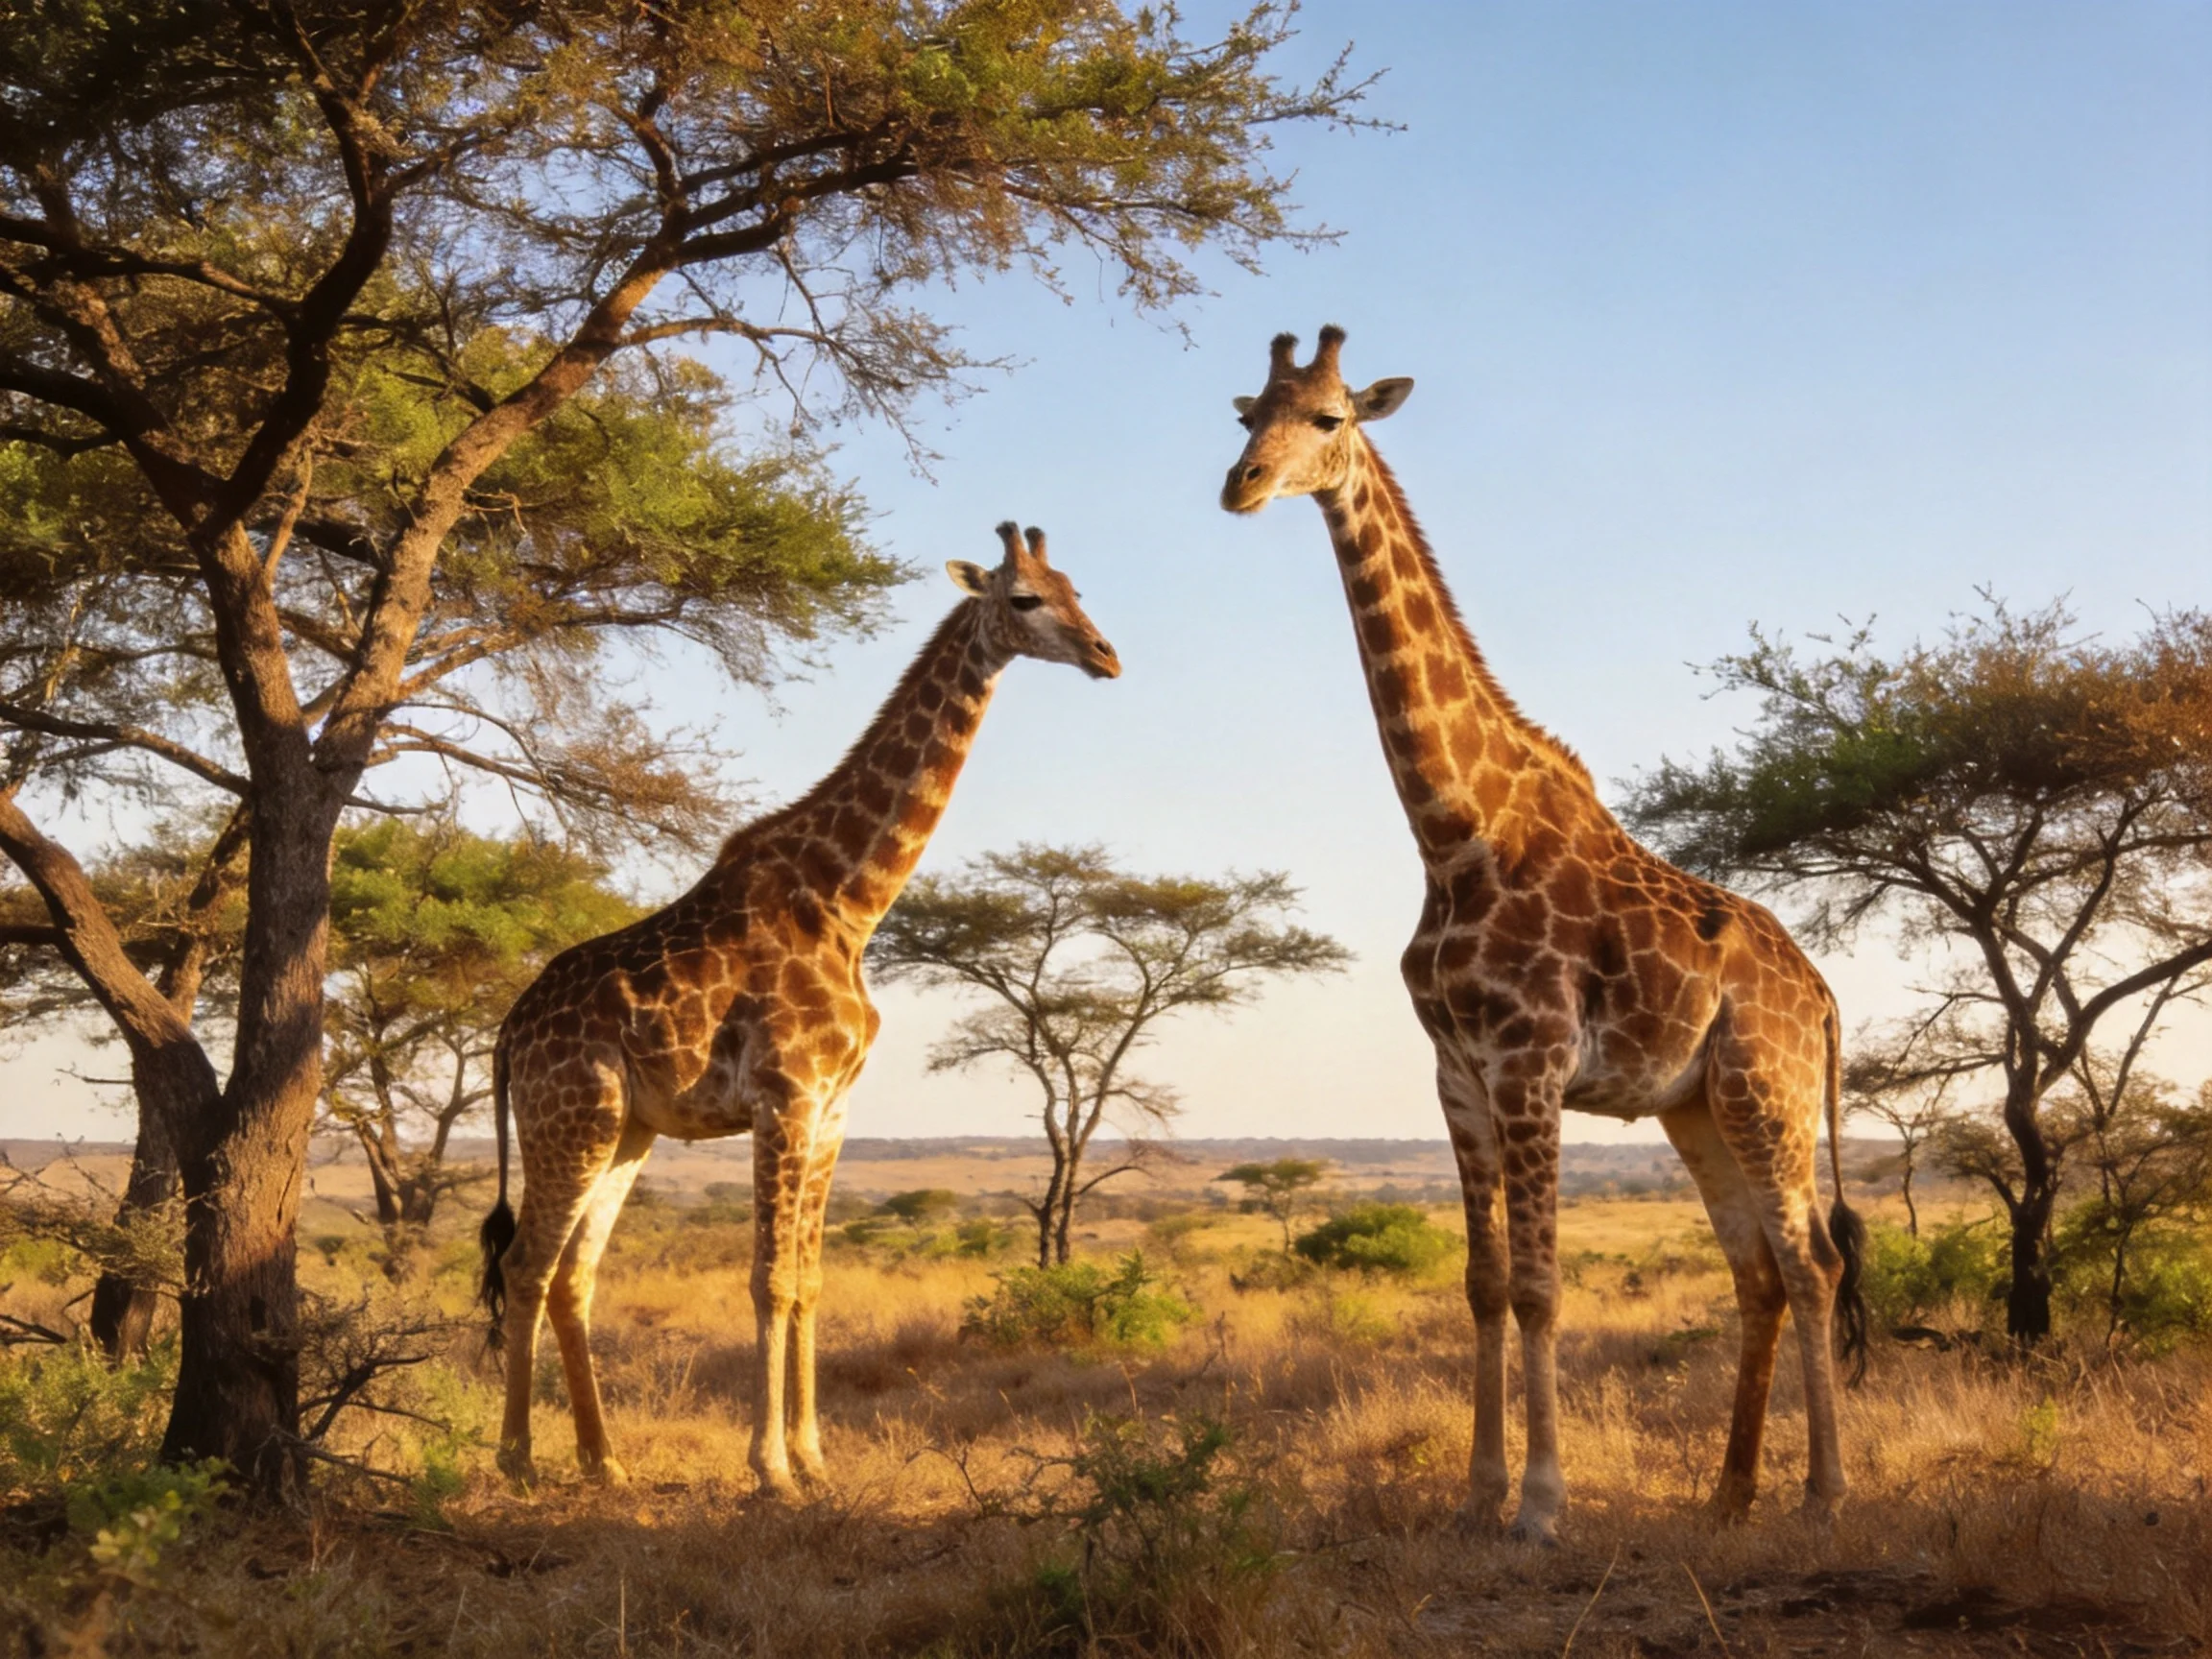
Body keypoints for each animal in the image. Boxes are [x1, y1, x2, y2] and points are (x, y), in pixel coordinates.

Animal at [477, 523, 1119, 1499]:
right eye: (1024, 599)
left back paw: (603, 1459)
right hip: (570, 1119)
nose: (1106, 655)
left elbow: (812, 1279)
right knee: (524, 1264)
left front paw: (816, 1456)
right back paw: (516, 1457)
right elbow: (771, 1279)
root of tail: (510, 1031)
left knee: (570, 1277)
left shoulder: (834, 1106)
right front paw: (770, 1468)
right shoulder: (785, 1096)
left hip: (624, 1131)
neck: (849, 899)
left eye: (1078, 588)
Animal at [1220, 327, 1867, 1543]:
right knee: (1757, 1270)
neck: (1453, 833)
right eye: (1247, 417)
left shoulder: (1530, 1063)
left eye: (1329, 418)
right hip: (1697, 1108)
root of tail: (1824, 997)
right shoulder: (1457, 1074)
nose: (1239, 484)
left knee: (1811, 1264)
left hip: (1768, 1092)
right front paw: (1476, 1492)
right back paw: (1730, 1493)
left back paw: (1825, 1492)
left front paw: (1540, 1506)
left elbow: (1539, 1286)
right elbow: (1482, 1287)